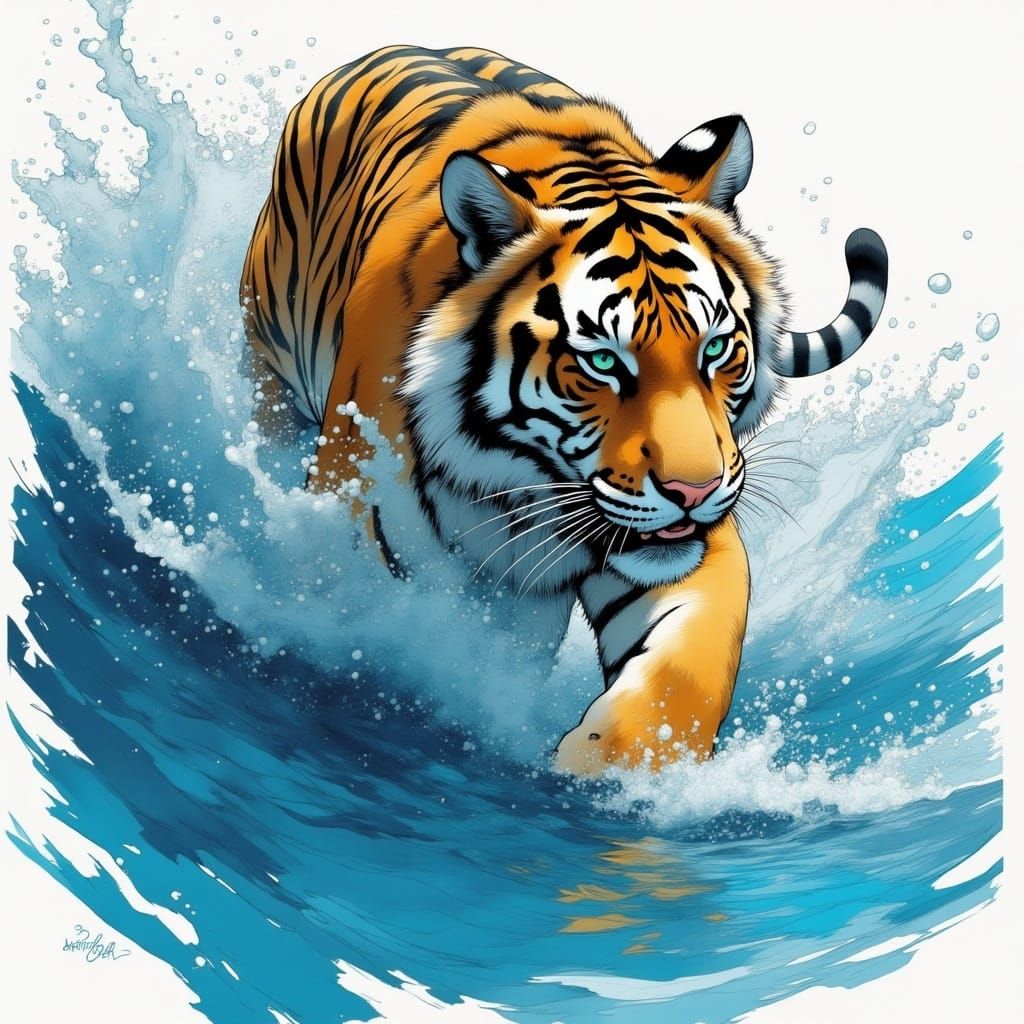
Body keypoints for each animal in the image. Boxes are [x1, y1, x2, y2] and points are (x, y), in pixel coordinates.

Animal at [240, 45, 888, 776]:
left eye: (717, 348)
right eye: (603, 361)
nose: (692, 492)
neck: (516, 487)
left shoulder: (695, 535)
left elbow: (685, 672)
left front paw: (612, 770)